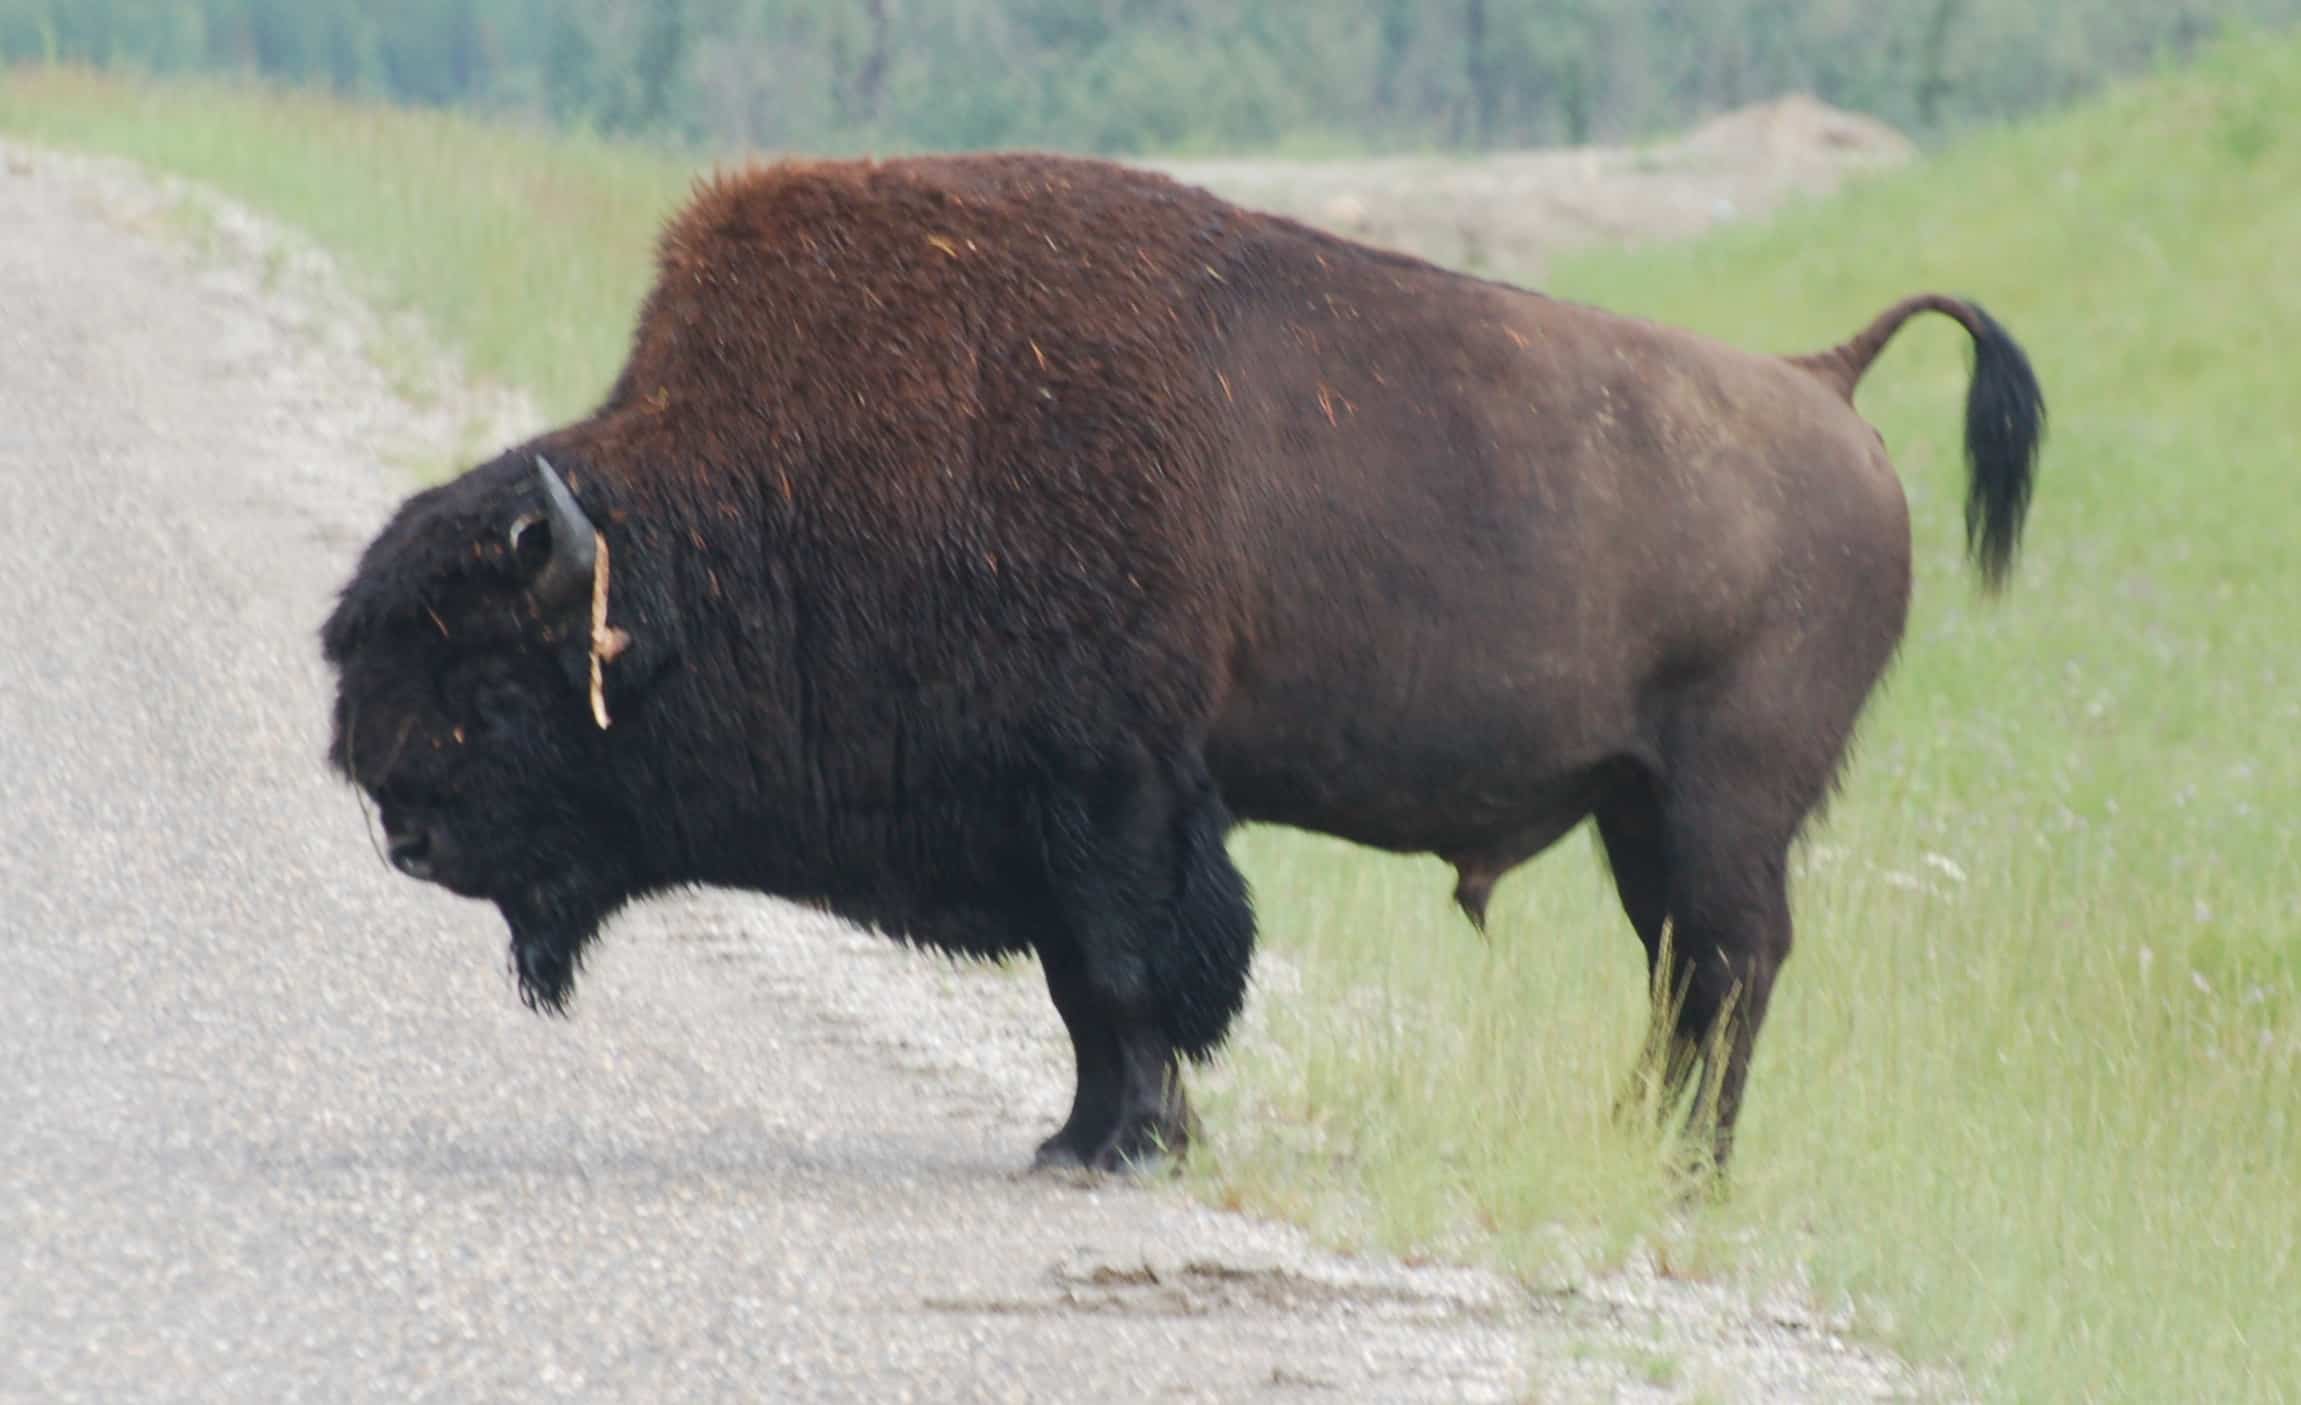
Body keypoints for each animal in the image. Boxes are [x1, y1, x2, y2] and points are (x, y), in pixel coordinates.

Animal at [323, 152, 2041, 1174]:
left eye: (491, 675)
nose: (397, 822)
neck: (758, 501)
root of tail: (1825, 385)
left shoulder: (1116, 802)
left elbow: (1137, 978)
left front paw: (1126, 1143)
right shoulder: (1051, 825)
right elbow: (1088, 998)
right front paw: (1076, 1137)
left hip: (1721, 804)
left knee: (1726, 966)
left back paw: (1679, 1172)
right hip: (1639, 809)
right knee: (1687, 970)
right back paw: (1637, 1150)